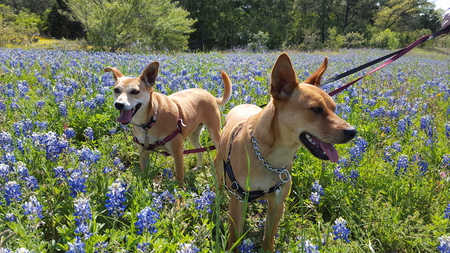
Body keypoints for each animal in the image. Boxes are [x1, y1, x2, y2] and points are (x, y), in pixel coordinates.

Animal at [213, 52, 356, 251]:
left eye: (334, 108)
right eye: (316, 109)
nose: (352, 131)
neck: (271, 158)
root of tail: (244, 104)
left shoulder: (277, 203)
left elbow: (269, 239)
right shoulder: (238, 201)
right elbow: (234, 238)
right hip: (220, 164)